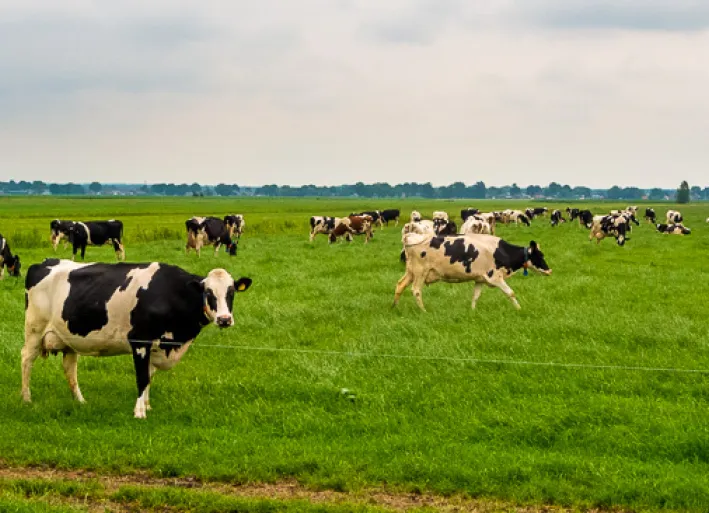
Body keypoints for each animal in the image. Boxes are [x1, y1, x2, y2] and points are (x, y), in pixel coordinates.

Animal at [21, 258, 252, 418]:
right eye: (208, 292)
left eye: (231, 292)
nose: (224, 319)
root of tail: (44, 263)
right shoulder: (140, 342)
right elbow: (142, 377)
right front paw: (139, 412)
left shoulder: (156, 346)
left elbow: (149, 376)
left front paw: (147, 406)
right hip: (34, 329)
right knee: (26, 359)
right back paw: (26, 398)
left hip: (68, 339)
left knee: (70, 369)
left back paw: (80, 401)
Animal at [393, 234, 551, 312]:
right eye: (540, 255)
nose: (550, 270)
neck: (502, 252)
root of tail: (412, 237)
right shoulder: (495, 277)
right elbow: (510, 293)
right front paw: (519, 309)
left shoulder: (479, 279)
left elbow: (475, 296)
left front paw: (473, 311)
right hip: (420, 272)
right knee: (416, 290)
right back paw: (423, 311)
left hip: (411, 271)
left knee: (400, 285)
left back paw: (394, 307)